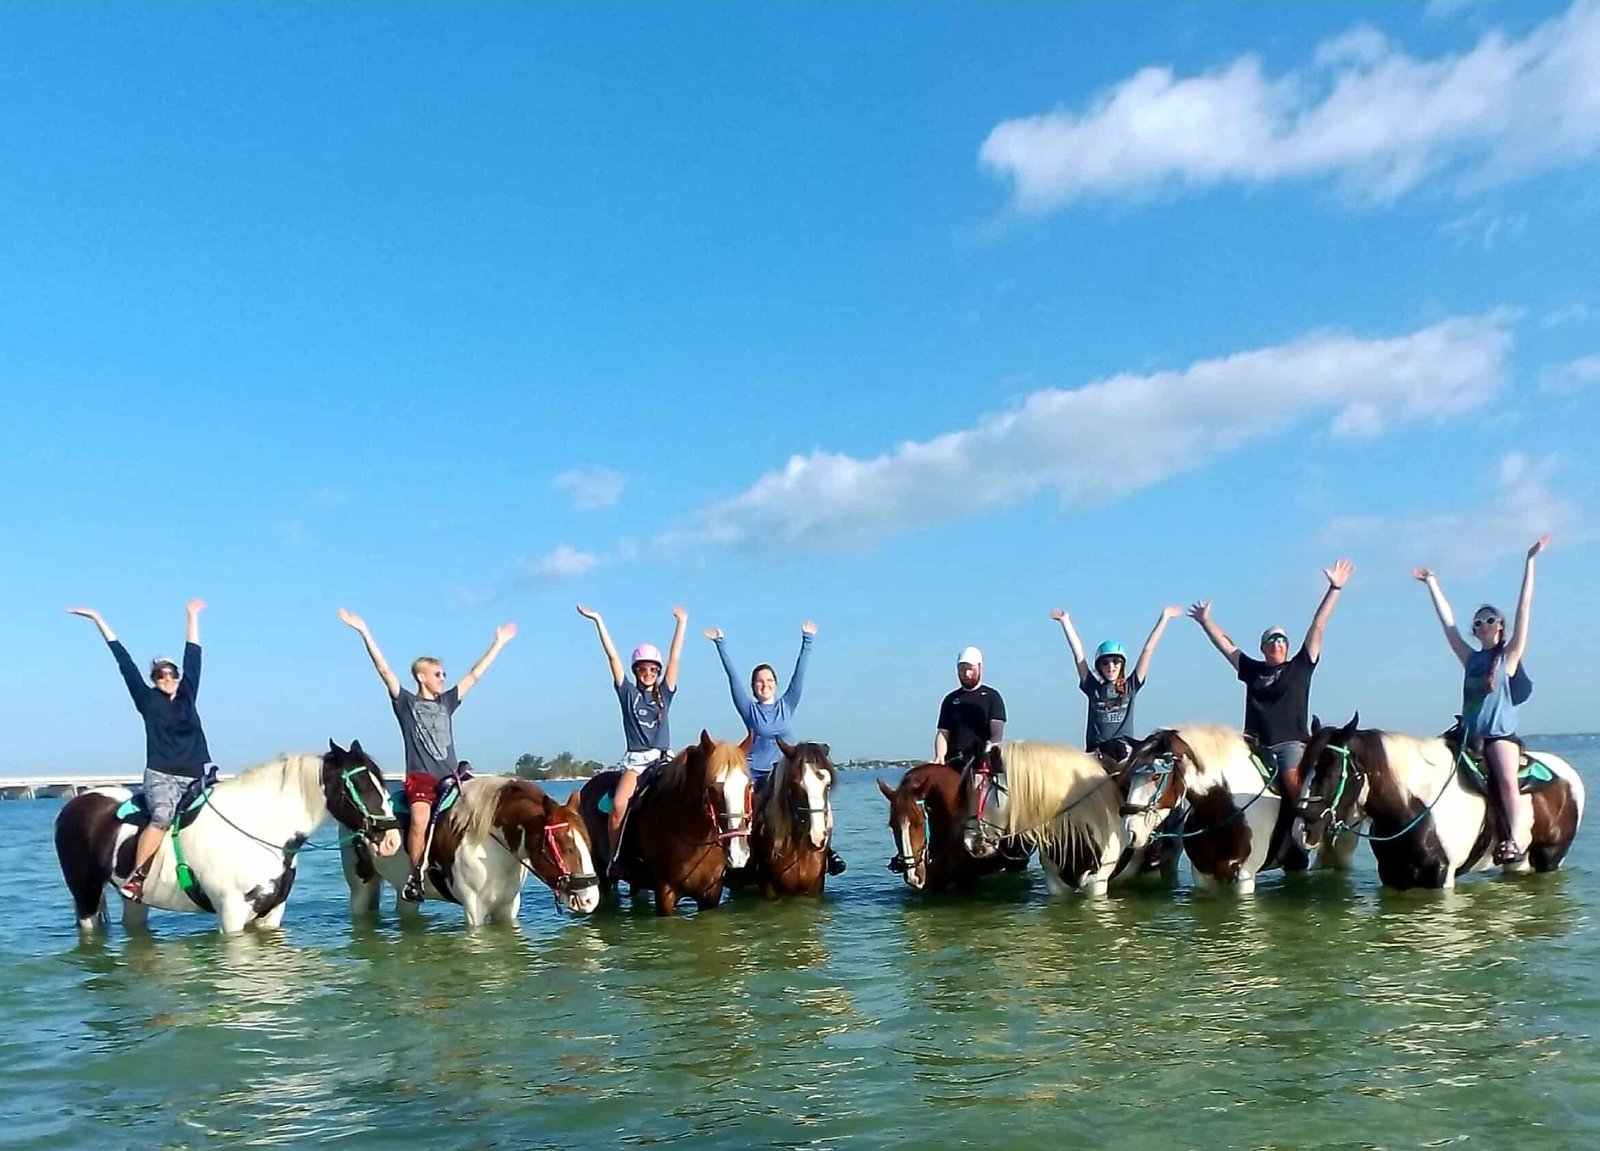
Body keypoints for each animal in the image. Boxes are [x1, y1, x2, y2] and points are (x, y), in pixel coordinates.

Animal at [54, 740, 401, 935]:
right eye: (360, 786)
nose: (392, 840)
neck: (259, 830)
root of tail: (79, 801)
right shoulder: (232, 914)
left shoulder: (271, 913)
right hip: (85, 894)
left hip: (135, 901)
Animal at [342, 774, 600, 924]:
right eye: (565, 845)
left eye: (587, 843)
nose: (590, 899)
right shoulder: (474, 908)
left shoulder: (508, 907)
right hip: (361, 887)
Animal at [1297, 713, 1586, 890]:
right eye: (1305, 766)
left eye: (1333, 769)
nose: (1303, 830)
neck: (1413, 805)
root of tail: (1569, 775)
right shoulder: (1392, 873)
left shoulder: (1440, 875)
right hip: (1520, 861)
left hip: (1550, 857)